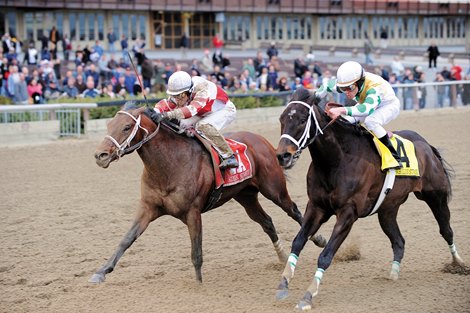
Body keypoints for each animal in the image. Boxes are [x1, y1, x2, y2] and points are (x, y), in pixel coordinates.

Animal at [88, 106, 324, 284]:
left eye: (126, 127)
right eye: (109, 125)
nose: (100, 155)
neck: (170, 165)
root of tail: (261, 140)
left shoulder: (193, 212)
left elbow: (197, 252)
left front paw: (199, 285)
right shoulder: (148, 207)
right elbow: (126, 240)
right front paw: (101, 272)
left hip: (274, 189)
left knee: (293, 210)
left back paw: (318, 239)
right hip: (245, 196)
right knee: (266, 221)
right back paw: (283, 256)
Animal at [274, 88, 464, 310]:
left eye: (303, 119)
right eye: (282, 118)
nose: (283, 156)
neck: (337, 160)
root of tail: (427, 146)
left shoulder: (348, 213)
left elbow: (325, 256)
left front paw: (307, 297)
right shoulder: (317, 207)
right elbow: (298, 242)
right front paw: (283, 284)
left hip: (436, 197)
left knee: (446, 230)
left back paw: (459, 264)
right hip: (387, 210)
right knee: (399, 241)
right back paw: (393, 274)